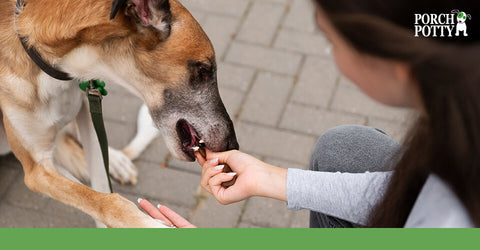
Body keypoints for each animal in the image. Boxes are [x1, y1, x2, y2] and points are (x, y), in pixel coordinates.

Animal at [0, 0, 239, 228]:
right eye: (204, 70)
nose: (233, 145)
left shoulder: (86, 109)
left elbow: (101, 186)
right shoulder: (36, 169)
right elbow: (105, 201)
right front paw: (152, 224)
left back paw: (116, 161)